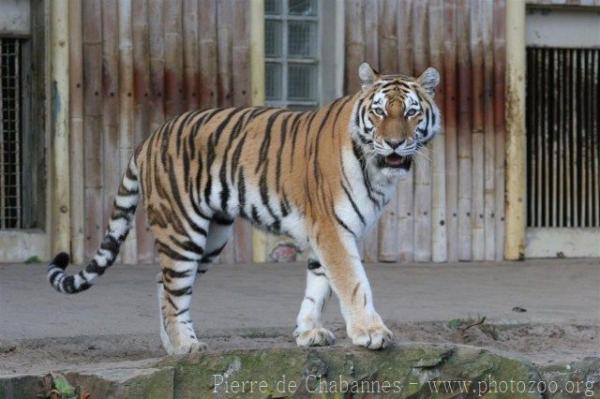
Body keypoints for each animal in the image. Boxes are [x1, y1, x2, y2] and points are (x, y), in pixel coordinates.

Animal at [47, 63, 440, 356]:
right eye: (378, 112)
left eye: (411, 113)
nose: (394, 143)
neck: (378, 170)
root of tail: (149, 138)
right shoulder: (333, 229)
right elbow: (353, 283)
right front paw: (371, 332)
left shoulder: (329, 233)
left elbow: (319, 286)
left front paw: (308, 332)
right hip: (182, 230)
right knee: (174, 289)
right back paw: (186, 346)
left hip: (212, 236)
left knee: (164, 283)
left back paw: (172, 347)